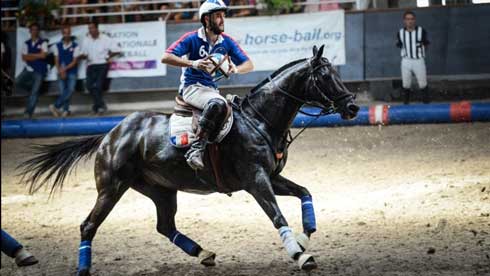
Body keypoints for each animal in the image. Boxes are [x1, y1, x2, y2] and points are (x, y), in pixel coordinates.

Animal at [18, 44, 360, 274]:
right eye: (325, 76)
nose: (353, 107)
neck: (260, 121)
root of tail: (109, 135)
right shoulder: (256, 180)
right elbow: (277, 215)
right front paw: (300, 255)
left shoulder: (272, 177)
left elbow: (304, 193)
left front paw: (304, 238)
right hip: (111, 187)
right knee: (88, 226)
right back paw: (83, 268)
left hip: (160, 189)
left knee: (164, 225)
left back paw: (204, 253)